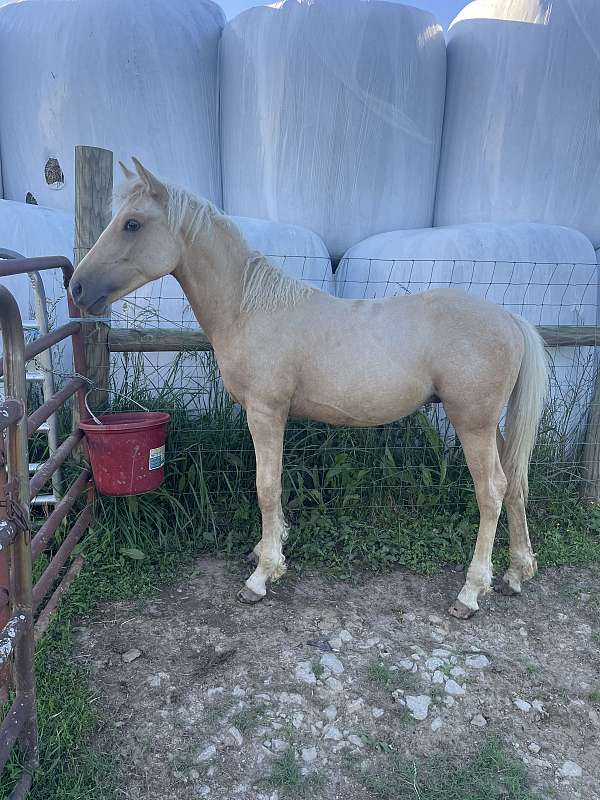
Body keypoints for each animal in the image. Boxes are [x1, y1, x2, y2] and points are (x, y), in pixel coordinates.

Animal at [70, 158, 548, 618]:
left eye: (132, 223)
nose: (76, 287)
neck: (250, 309)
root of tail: (510, 319)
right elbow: (273, 485)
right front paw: (267, 550)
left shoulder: (265, 412)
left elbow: (266, 487)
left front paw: (262, 576)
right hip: (489, 426)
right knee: (515, 483)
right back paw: (516, 573)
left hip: (472, 425)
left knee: (491, 492)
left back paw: (471, 592)